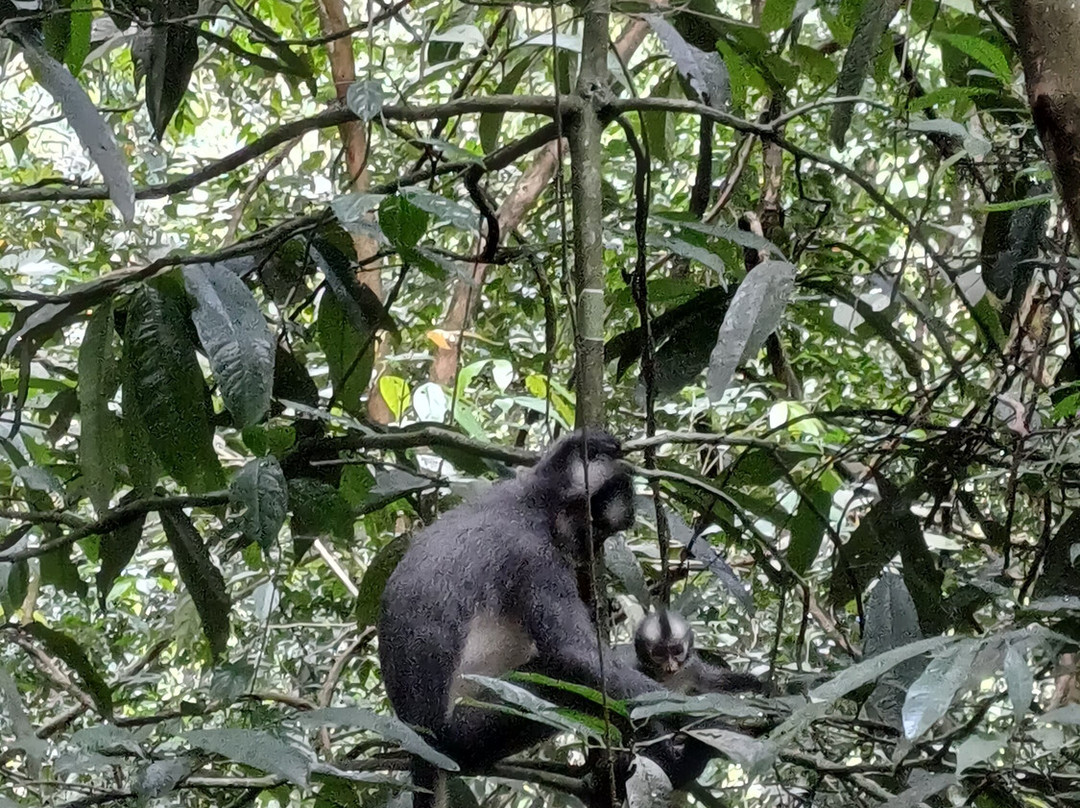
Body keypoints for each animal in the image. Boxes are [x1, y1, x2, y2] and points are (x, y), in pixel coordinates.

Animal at [376, 430, 711, 807]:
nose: (587, 550)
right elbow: (572, 656)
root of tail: (423, 740)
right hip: (466, 729)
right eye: (594, 531)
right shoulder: (535, 554)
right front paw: (702, 713)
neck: (530, 501)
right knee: (556, 675)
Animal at [616, 609, 765, 696]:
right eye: (659, 653)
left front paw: (757, 684)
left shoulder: (692, 668)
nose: (670, 665)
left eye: (677, 651)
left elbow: (715, 682)